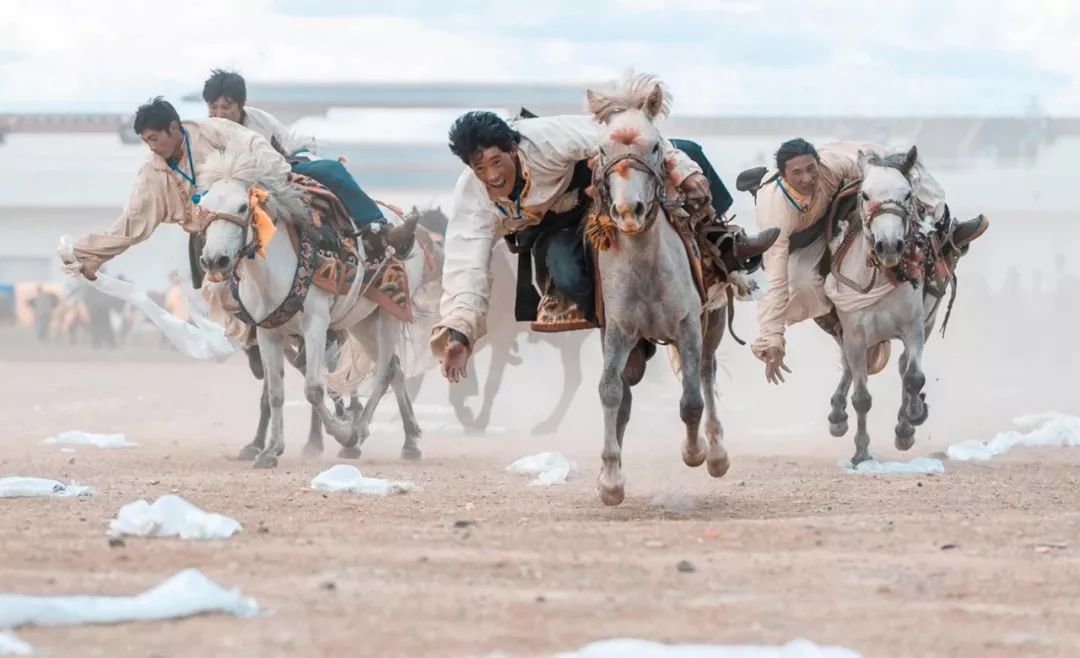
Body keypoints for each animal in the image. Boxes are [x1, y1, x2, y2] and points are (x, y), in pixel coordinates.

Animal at [198, 145, 425, 464]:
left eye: (243, 207)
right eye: (204, 206)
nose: (214, 260)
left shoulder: (316, 327)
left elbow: (314, 389)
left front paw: (343, 433)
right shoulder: (268, 333)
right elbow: (275, 393)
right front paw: (270, 451)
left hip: (389, 314)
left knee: (384, 371)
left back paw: (358, 434)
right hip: (362, 322)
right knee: (395, 367)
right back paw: (410, 440)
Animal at [587, 72, 730, 503]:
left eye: (654, 145)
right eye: (602, 148)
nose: (628, 212)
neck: (646, 271)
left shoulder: (688, 326)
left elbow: (691, 401)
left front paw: (695, 452)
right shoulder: (618, 332)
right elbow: (610, 390)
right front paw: (610, 479)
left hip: (714, 323)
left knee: (706, 374)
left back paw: (717, 452)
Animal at [820, 145, 950, 464]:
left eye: (907, 194)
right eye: (865, 194)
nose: (889, 245)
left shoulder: (914, 328)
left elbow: (914, 378)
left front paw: (910, 422)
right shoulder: (854, 333)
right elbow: (861, 397)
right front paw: (861, 452)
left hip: (928, 320)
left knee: (904, 368)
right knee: (849, 367)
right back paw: (837, 416)